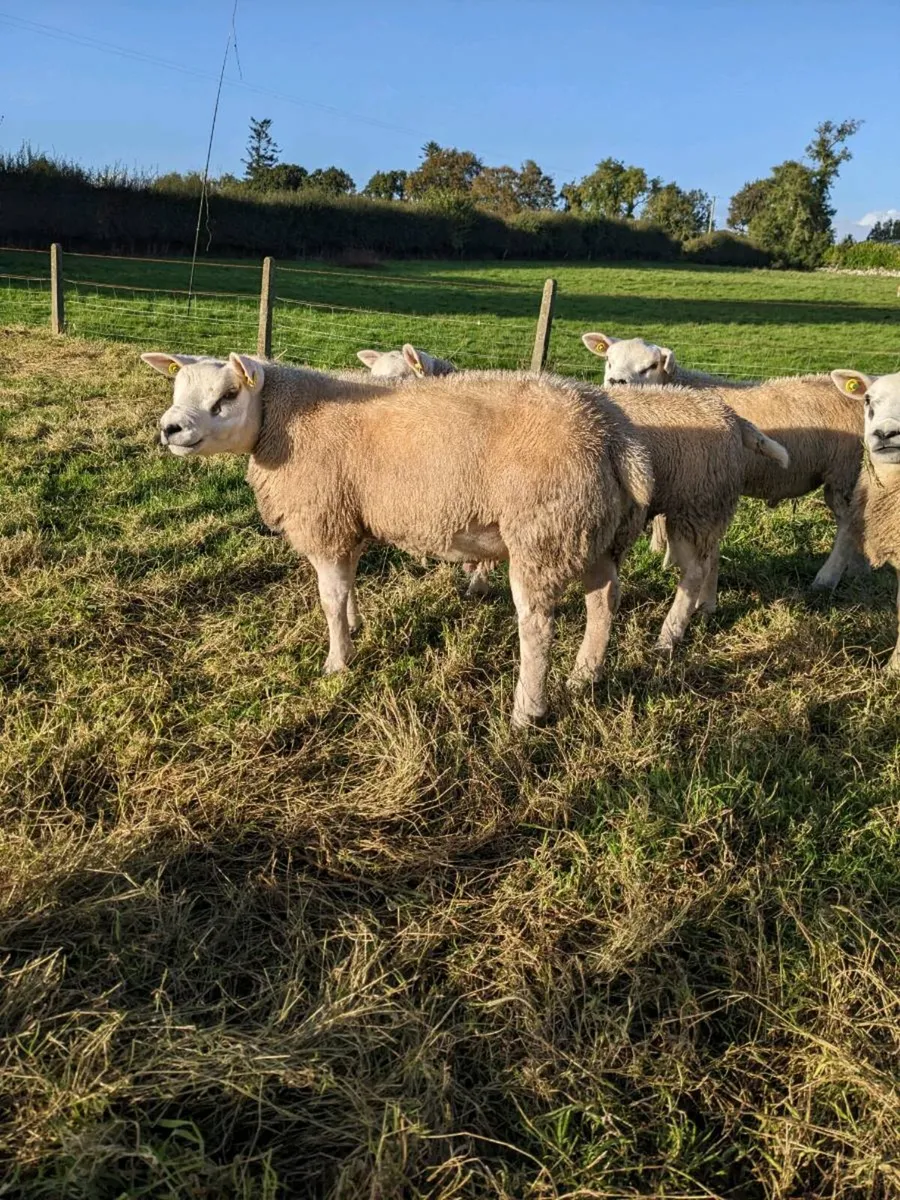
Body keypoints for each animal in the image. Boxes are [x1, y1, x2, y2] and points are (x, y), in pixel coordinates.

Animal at [142, 351, 654, 727]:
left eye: (228, 394)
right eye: (177, 388)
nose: (170, 428)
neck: (280, 419)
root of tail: (613, 437)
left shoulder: (324, 519)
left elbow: (329, 597)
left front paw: (337, 661)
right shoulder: (348, 517)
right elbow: (347, 585)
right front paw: (354, 626)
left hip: (543, 532)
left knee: (537, 627)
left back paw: (526, 712)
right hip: (596, 531)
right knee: (603, 602)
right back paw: (585, 677)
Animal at [583, 332, 866, 589]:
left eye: (651, 366)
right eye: (608, 359)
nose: (616, 381)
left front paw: (668, 560)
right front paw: (658, 550)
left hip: (845, 472)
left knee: (849, 526)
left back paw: (827, 579)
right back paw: (856, 571)